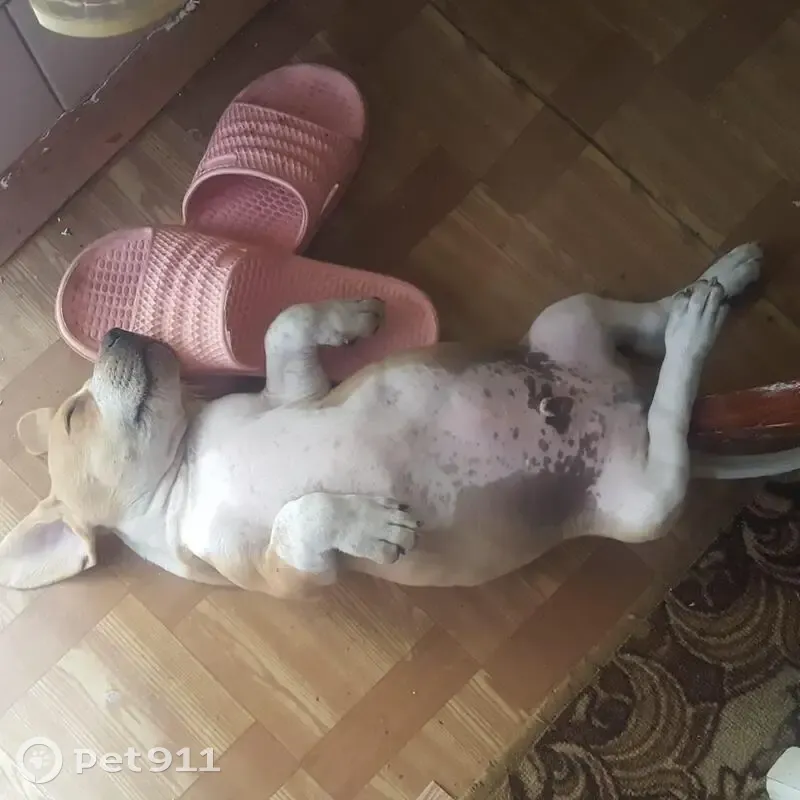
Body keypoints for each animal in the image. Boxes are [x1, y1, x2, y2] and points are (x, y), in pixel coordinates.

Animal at [0, 243, 763, 597]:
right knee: (669, 423)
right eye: (76, 414)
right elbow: (302, 515)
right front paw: (370, 526)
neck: (186, 468)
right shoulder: (288, 576)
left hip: (565, 317)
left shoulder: (294, 390)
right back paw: (700, 321)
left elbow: (285, 323)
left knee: (651, 330)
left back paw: (718, 283)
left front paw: (351, 314)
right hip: (641, 502)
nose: (114, 333)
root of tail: (617, 397)